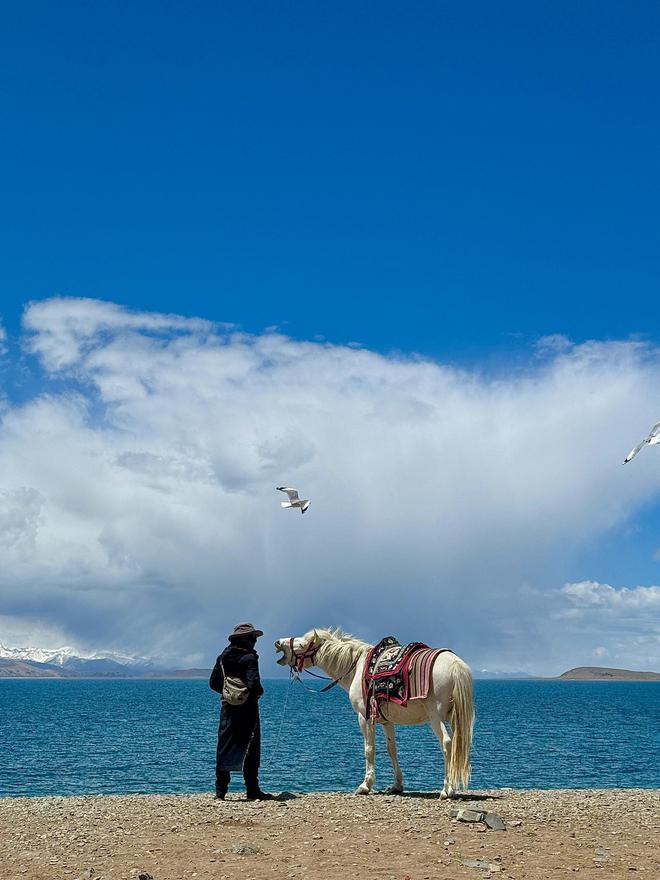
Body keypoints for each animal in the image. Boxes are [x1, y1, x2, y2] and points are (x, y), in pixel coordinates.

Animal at [274, 624, 474, 796]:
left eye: (302, 645)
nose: (278, 642)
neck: (355, 667)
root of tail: (456, 666)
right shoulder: (386, 720)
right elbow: (391, 749)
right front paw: (396, 785)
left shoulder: (364, 717)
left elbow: (369, 749)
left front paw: (365, 785)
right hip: (455, 717)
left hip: (436, 716)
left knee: (447, 744)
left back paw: (447, 789)